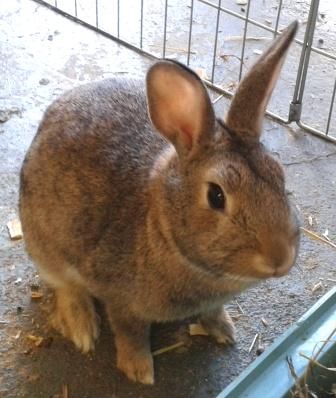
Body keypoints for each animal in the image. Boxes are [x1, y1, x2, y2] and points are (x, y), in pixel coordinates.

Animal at [19, 20, 300, 384]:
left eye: (280, 175)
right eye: (216, 196)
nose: (280, 259)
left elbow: (212, 311)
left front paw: (224, 331)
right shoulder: (123, 302)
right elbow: (130, 333)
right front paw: (139, 370)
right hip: (46, 245)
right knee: (65, 286)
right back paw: (82, 329)